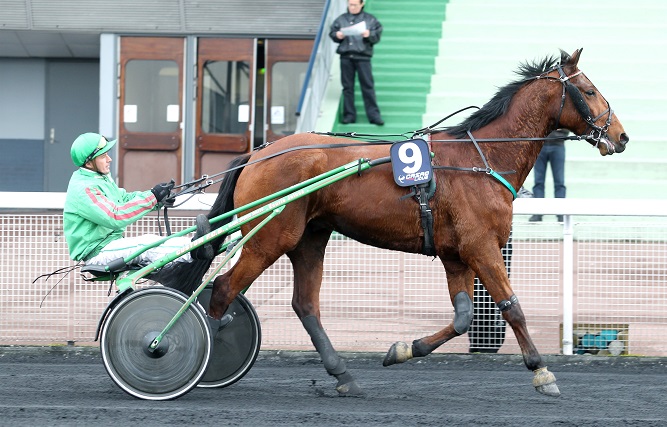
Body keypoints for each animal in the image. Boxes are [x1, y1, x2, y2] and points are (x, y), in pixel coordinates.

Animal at [164, 48, 628, 400]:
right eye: (590, 91)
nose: (621, 136)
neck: (483, 158)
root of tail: (260, 152)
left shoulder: (456, 254)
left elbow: (463, 317)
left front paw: (403, 349)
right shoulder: (482, 246)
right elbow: (511, 307)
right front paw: (541, 371)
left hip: (309, 238)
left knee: (305, 306)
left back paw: (343, 375)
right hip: (270, 237)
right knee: (224, 289)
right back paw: (190, 350)